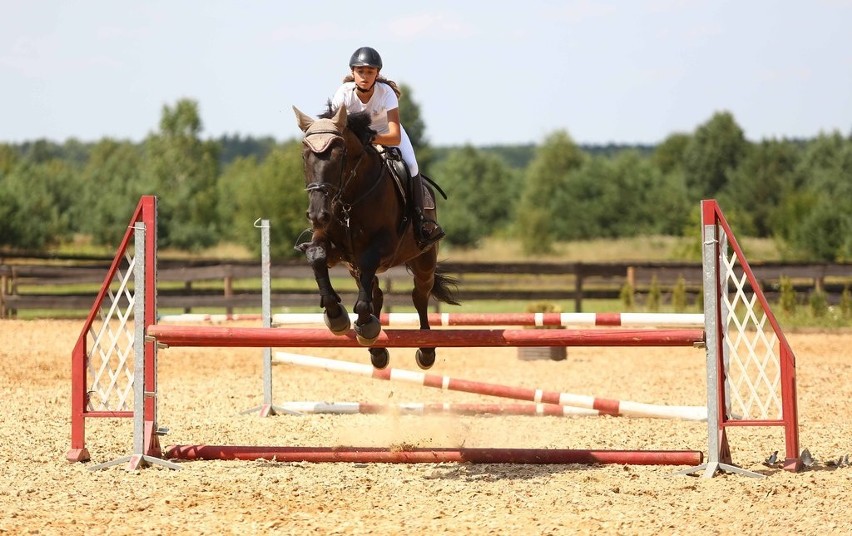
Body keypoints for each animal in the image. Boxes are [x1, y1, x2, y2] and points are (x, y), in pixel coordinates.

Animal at [292, 102, 460, 370]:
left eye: (340, 155)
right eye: (304, 155)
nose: (317, 214)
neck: (350, 199)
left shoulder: (382, 248)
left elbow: (369, 266)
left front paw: (359, 321)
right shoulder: (335, 248)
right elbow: (317, 256)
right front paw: (337, 316)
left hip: (424, 260)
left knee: (420, 295)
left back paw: (425, 348)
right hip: (355, 268)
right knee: (376, 293)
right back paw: (377, 348)